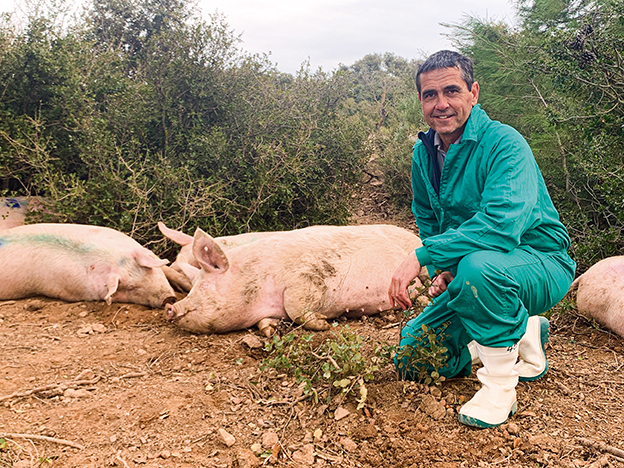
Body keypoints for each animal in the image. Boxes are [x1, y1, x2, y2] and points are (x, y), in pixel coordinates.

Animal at [163, 224, 426, 336]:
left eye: (204, 286)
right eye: (192, 285)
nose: (170, 307)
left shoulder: (306, 278)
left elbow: (296, 305)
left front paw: (324, 323)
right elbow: (267, 322)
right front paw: (271, 332)